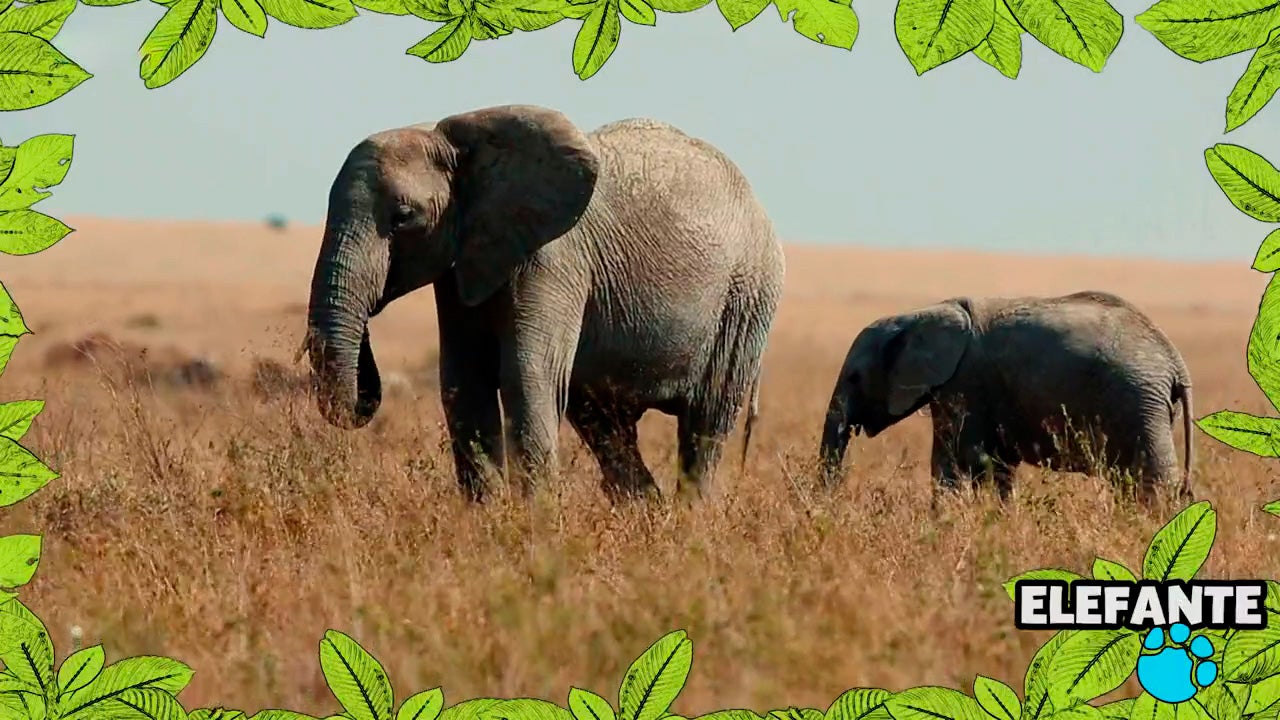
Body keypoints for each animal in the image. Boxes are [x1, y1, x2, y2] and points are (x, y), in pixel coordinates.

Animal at [304, 104, 785, 503]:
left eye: (403, 218)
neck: (456, 140)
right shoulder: (461, 262)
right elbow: (464, 383)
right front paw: (488, 523)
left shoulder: (553, 257)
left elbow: (526, 375)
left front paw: (535, 528)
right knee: (605, 425)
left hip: (746, 298)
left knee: (706, 424)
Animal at [818, 291, 1194, 502]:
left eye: (855, 378)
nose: (834, 502)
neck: (918, 315)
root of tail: (1176, 362)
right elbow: (996, 468)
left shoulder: (964, 381)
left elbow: (957, 462)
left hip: (1138, 399)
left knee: (1151, 480)